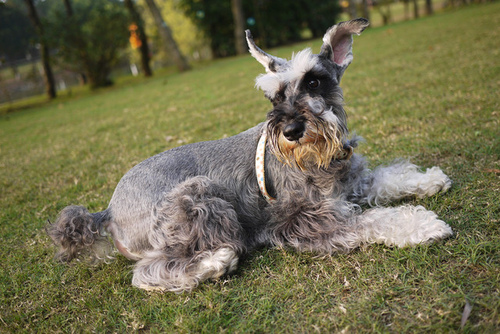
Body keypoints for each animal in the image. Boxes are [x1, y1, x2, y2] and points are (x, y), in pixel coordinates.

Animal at [47, 18, 454, 292]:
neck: (319, 159)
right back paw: (215, 262)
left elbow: (388, 177)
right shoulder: (307, 221)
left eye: (314, 81)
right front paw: (422, 225)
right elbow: (371, 221)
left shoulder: (351, 180)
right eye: (274, 97)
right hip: (196, 198)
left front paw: (429, 179)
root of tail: (108, 212)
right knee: (148, 273)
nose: (291, 130)